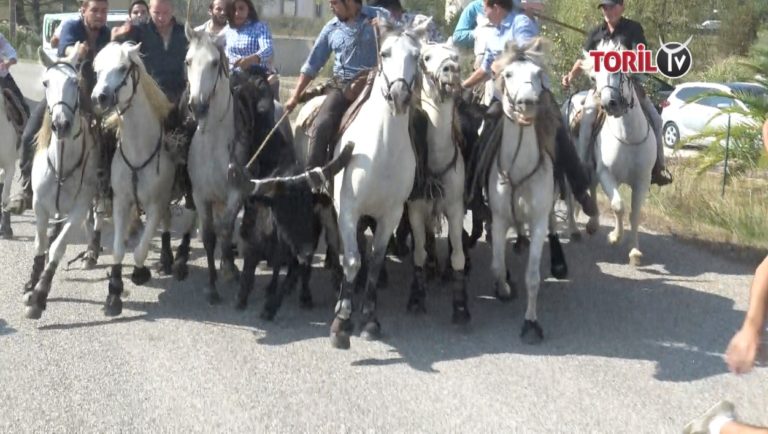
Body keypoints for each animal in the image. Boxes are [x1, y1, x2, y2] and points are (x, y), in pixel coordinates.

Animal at [22, 44, 101, 318]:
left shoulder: (78, 209)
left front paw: (39, 296)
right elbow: (40, 243)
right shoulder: (39, 206)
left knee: (96, 218)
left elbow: (58, 246)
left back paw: (91, 252)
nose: (61, 124)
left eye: (75, 83)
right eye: (46, 82)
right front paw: (31, 282)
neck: (63, 161)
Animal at [91, 41, 178, 316]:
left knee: (168, 222)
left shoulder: (155, 204)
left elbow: (141, 250)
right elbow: (119, 250)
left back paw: (167, 259)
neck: (139, 150)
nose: (99, 97)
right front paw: (114, 293)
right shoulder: (121, 202)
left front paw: (140, 273)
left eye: (122, 68)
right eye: (97, 70)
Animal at [568, 40, 656, 266]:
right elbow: (618, 205)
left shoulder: (642, 180)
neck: (628, 137)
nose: (609, 104)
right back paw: (576, 230)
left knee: (589, 187)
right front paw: (615, 237)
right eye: (594, 77)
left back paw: (592, 223)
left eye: (618, 70)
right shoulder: (606, 174)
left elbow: (634, 214)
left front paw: (634, 250)